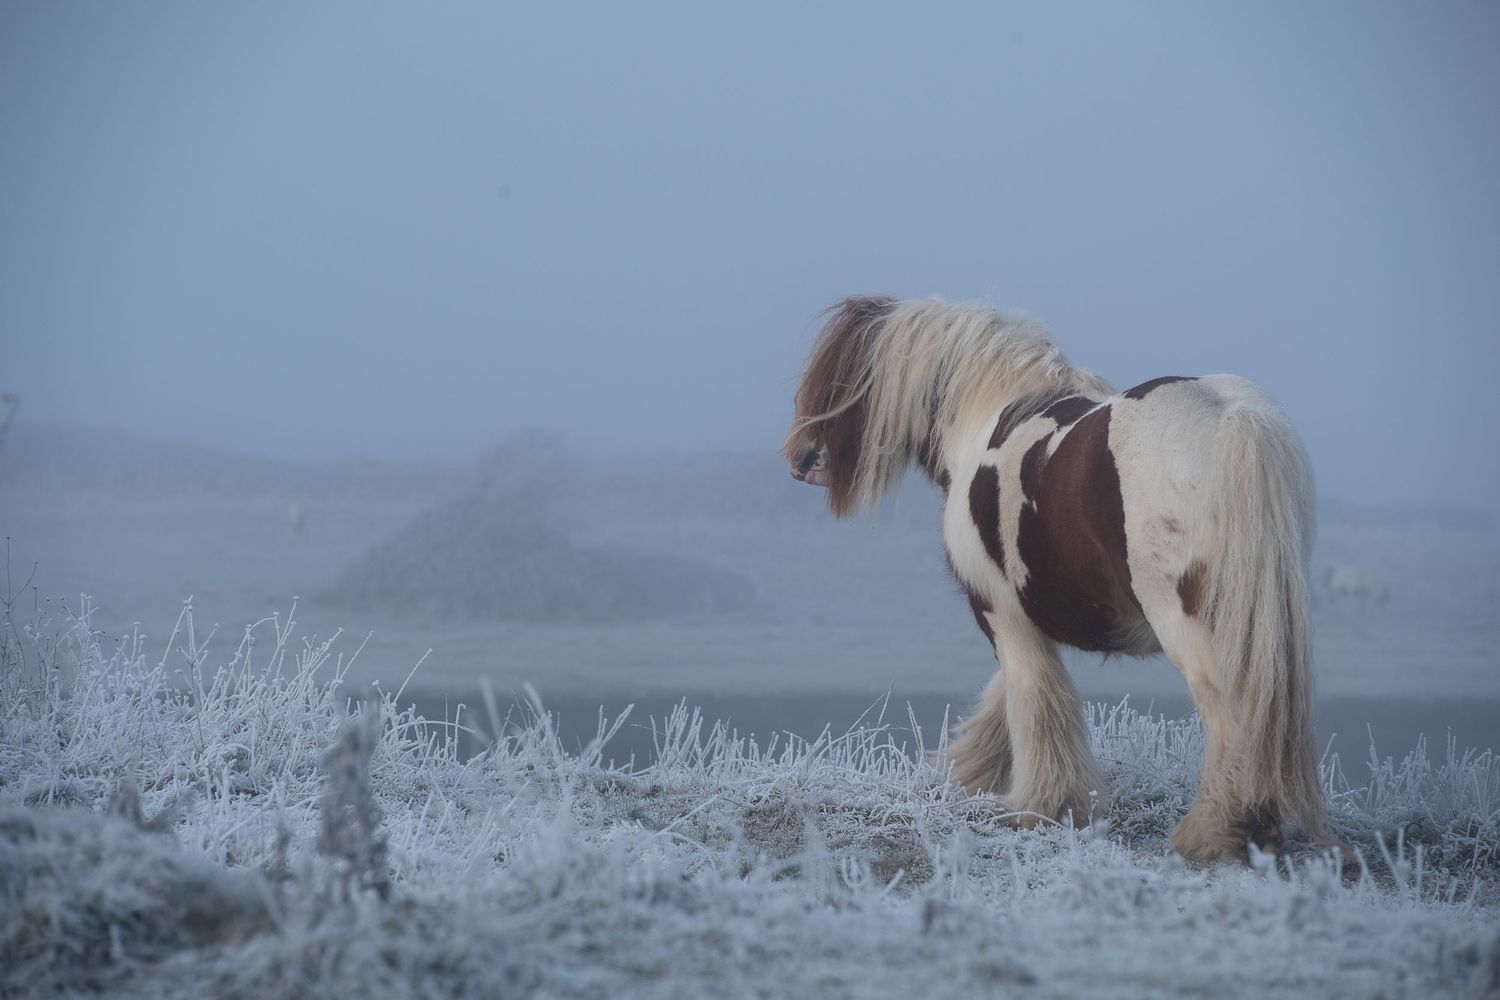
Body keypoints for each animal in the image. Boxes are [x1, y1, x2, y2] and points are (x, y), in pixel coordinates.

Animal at [784, 296, 1330, 862]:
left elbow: (1034, 696)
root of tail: (1230, 415)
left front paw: (1041, 806)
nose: (803, 459)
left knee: (1229, 718)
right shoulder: (1028, 611)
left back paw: (1210, 833)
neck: (989, 416)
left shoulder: (998, 608)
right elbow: (1008, 699)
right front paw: (974, 776)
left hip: (1191, 625)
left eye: (839, 374)